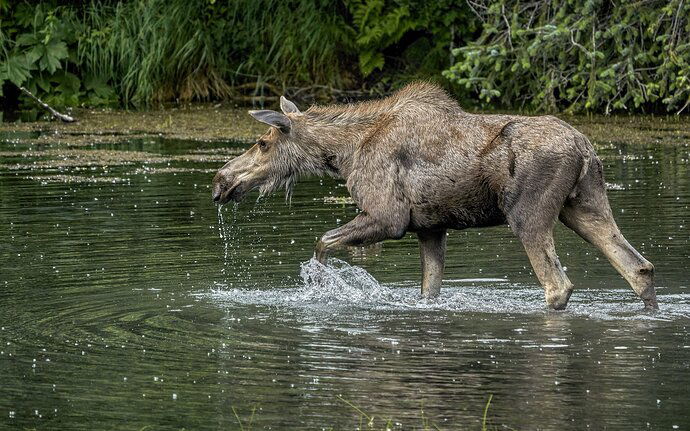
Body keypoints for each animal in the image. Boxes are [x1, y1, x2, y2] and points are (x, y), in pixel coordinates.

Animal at [211, 82, 656, 310]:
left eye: (262, 142)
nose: (220, 181)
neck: (341, 154)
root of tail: (585, 148)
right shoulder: (430, 227)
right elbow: (429, 289)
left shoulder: (388, 216)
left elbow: (322, 243)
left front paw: (322, 287)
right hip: (584, 204)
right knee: (638, 268)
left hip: (529, 213)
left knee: (558, 285)